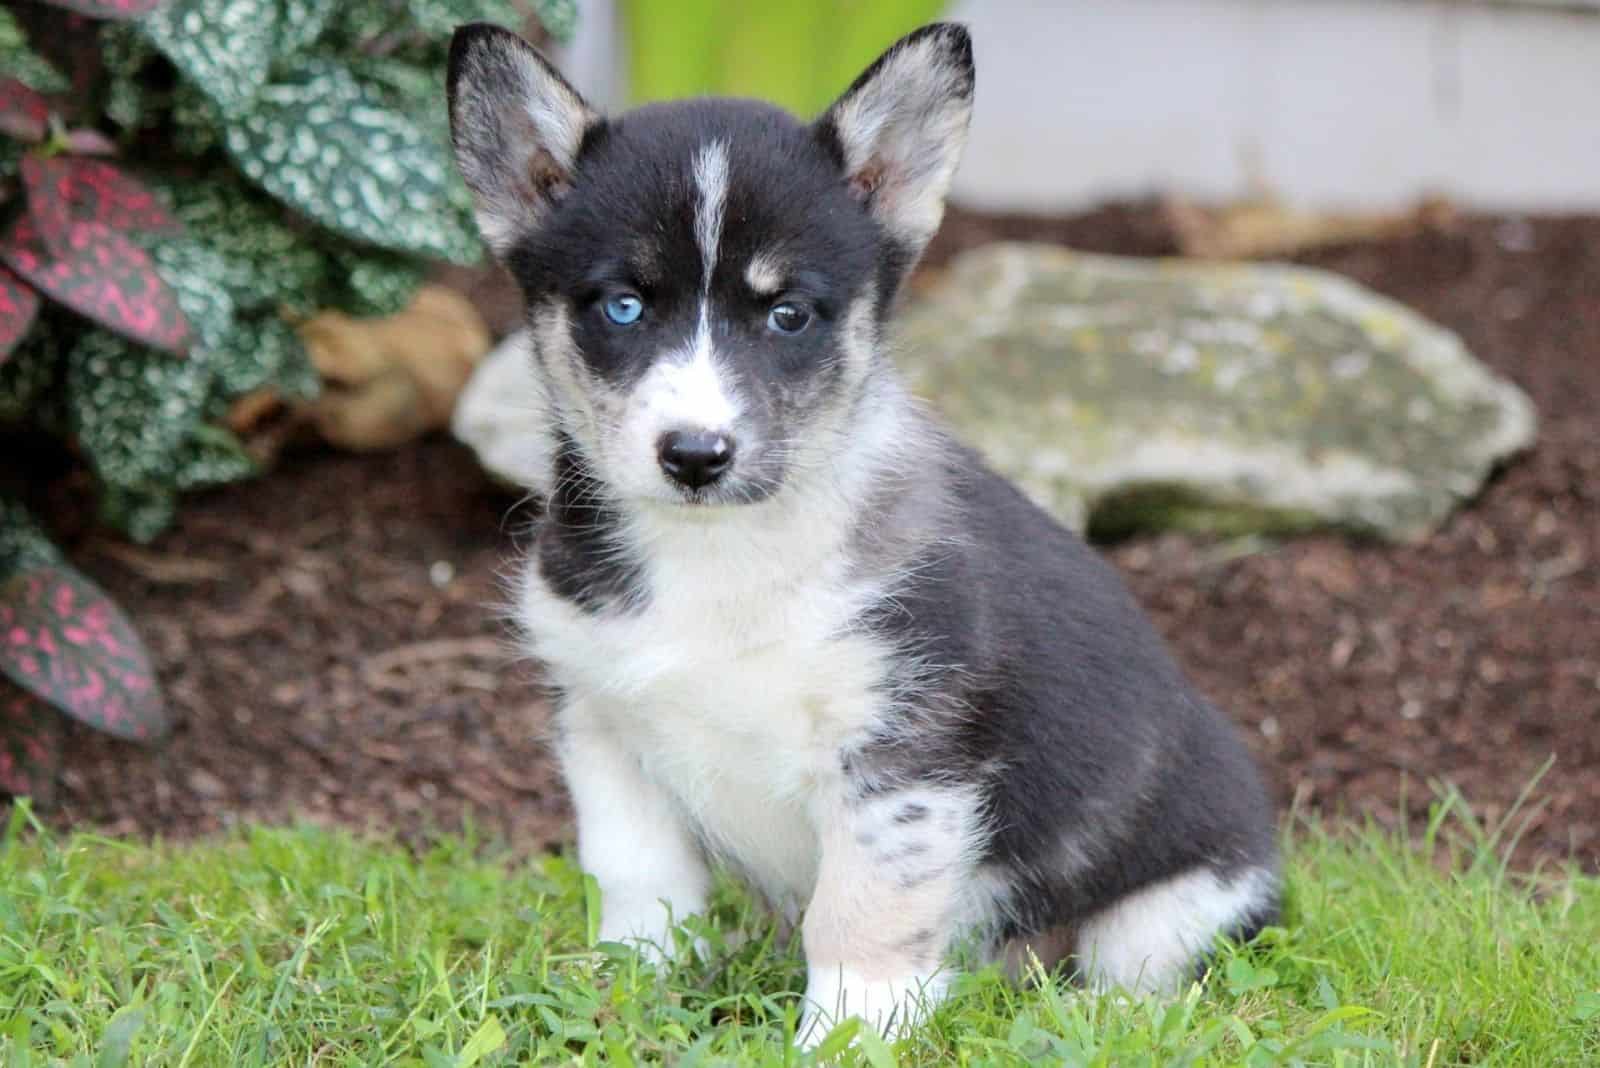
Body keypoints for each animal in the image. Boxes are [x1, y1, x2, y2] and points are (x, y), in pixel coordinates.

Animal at [444, 20, 1280, 1048]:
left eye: (788, 314)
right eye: (624, 305)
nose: (695, 455)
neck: (722, 553)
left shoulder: (900, 758)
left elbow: (860, 916)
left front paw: (845, 1036)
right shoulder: (604, 724)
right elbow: (639, 885)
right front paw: (626, 996)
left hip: (1177, 902)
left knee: (1137, 978)